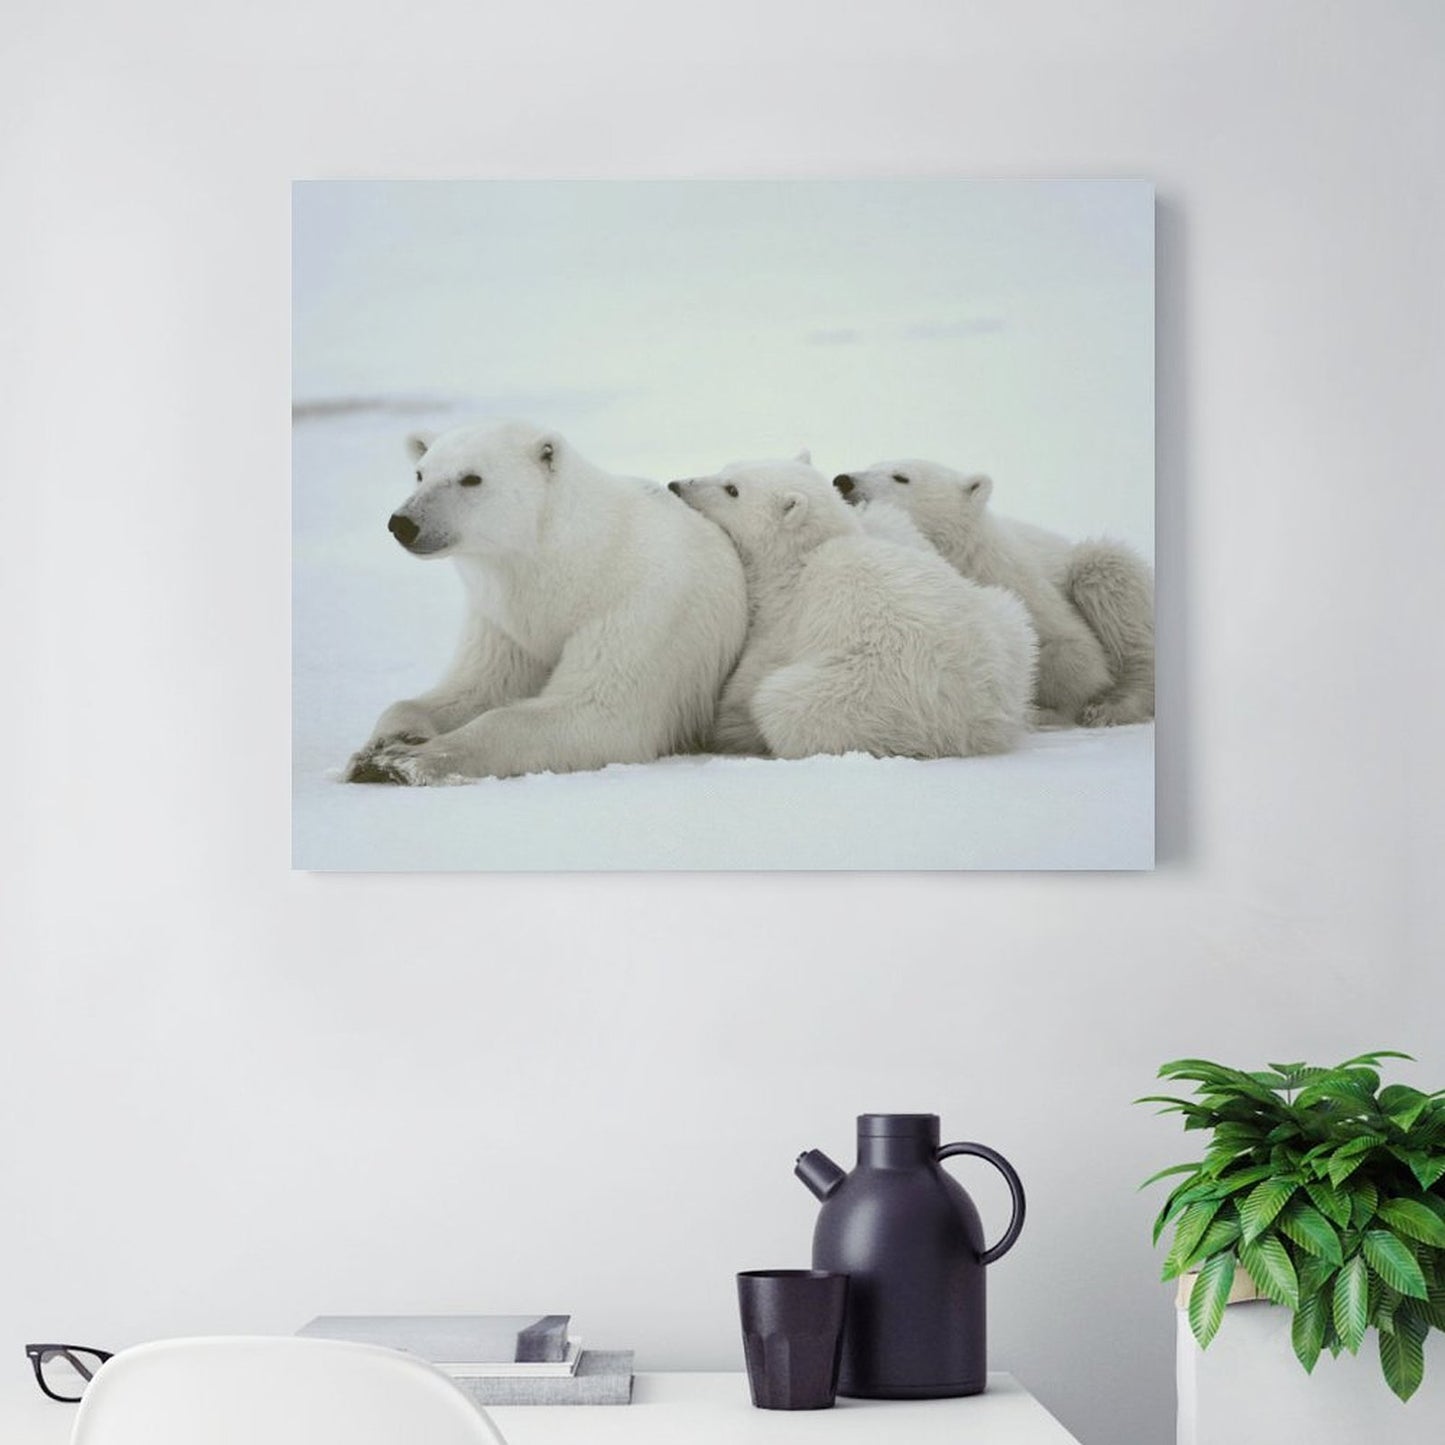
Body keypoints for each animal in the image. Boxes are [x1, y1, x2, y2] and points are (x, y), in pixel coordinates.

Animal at [345, 420, 749, 784]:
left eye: (471, 478)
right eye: (420, 474)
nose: (403, 523)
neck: (581, 563)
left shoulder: (645, 607)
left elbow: (599, 712)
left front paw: (405, 761)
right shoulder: (506, 622)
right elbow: (477, 687)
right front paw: (382, 745)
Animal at [667, 457, 1037, 761]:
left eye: (732, 490)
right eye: (726, 468)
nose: (677, 485)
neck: (801, 559)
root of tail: (976, 719)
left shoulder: (786, 616)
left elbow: (747, 681)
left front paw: (725, 724)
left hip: (859, 689)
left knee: (783, 705)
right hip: (1006, 624)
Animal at [833, 459, 1155, 727]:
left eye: (901, 476)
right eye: (871, 463)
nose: (843, 480)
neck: (965, 556)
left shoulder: (1015, 582)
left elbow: (1075, 649)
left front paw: (1046, 710)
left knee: (1110, 579)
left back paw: (1111, 708)